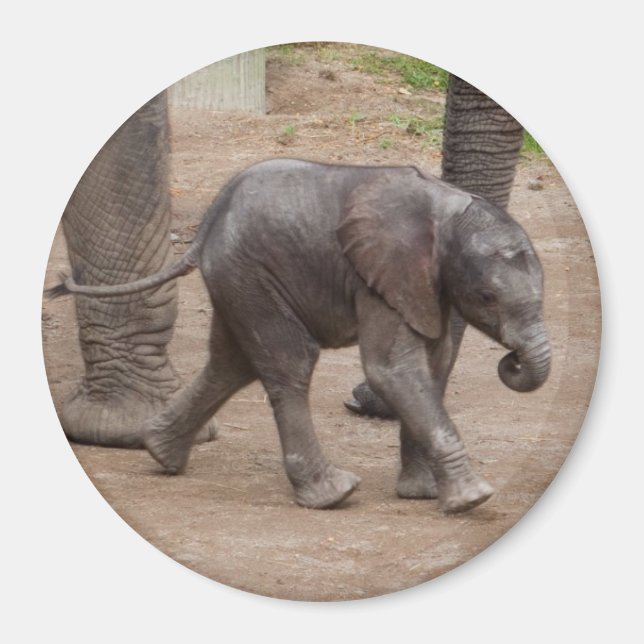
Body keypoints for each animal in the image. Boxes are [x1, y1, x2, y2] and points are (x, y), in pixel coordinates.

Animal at [48, 157, 551, 513]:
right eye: (487, 296)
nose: (512, 361)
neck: (449, 211)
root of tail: (206, 225)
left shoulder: (427, 284)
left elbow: (435, 365)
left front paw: (422, 494)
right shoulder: (379, 275)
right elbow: (392, 370)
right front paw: (473, 499)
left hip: (239, 279)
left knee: (230, 363)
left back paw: (161, 452)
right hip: (251, 273)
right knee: (289, 363)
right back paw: (333, 494)